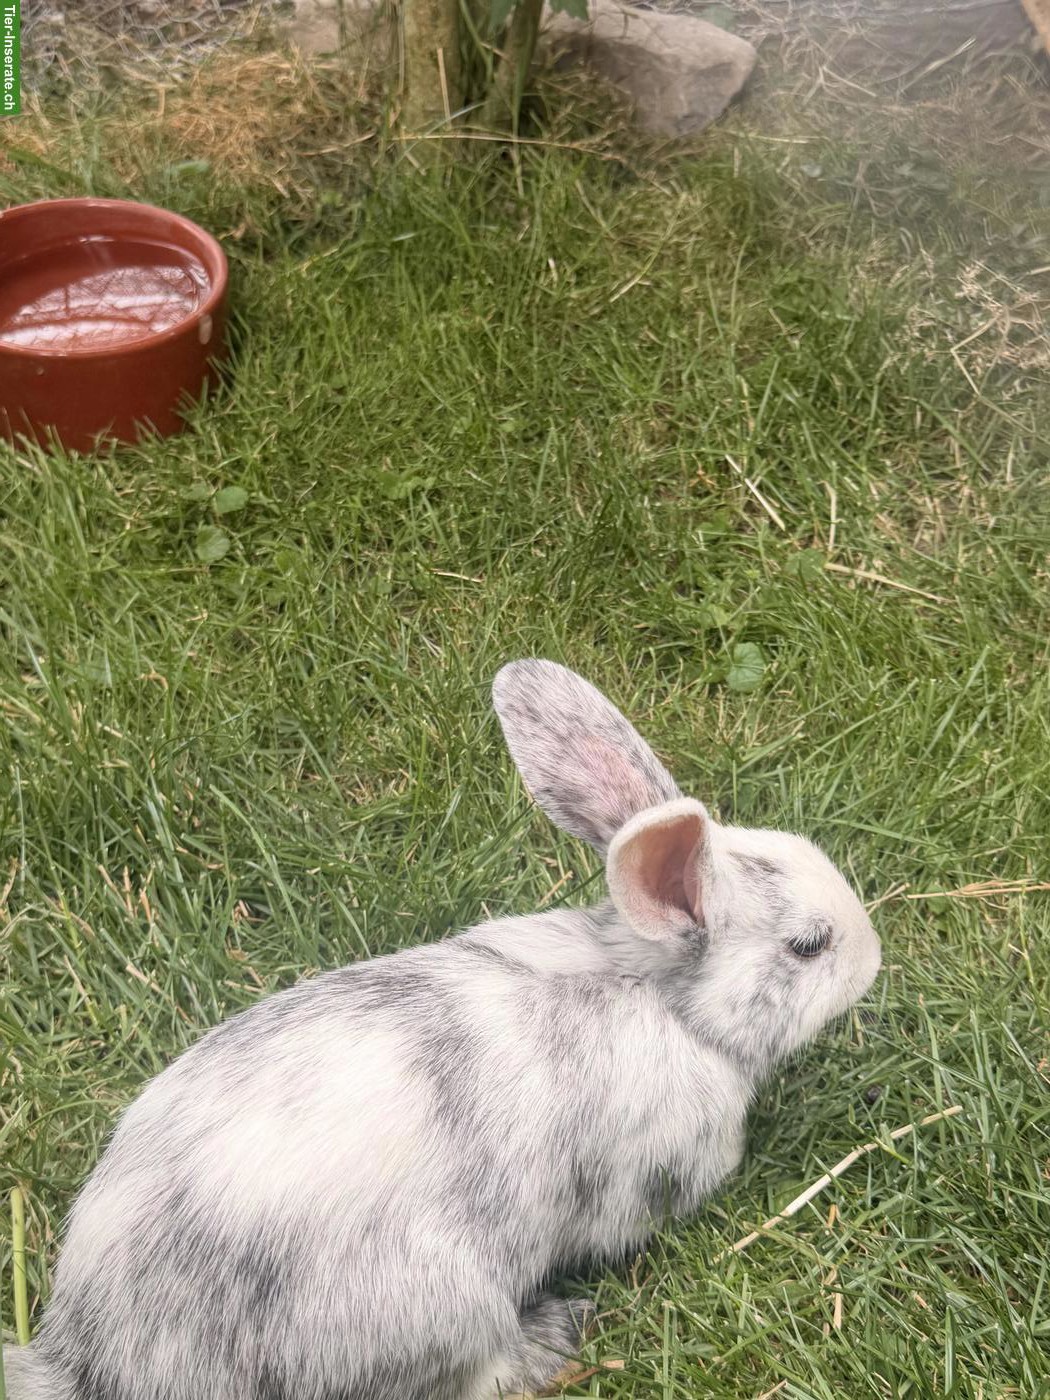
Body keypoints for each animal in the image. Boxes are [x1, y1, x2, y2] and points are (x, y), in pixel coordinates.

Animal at [5, 659, 881, 1400]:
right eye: (809, 945)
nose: (874, 956)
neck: (662, 997)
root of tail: (96, 1359)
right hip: (446, 1304)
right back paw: (557, 1334)